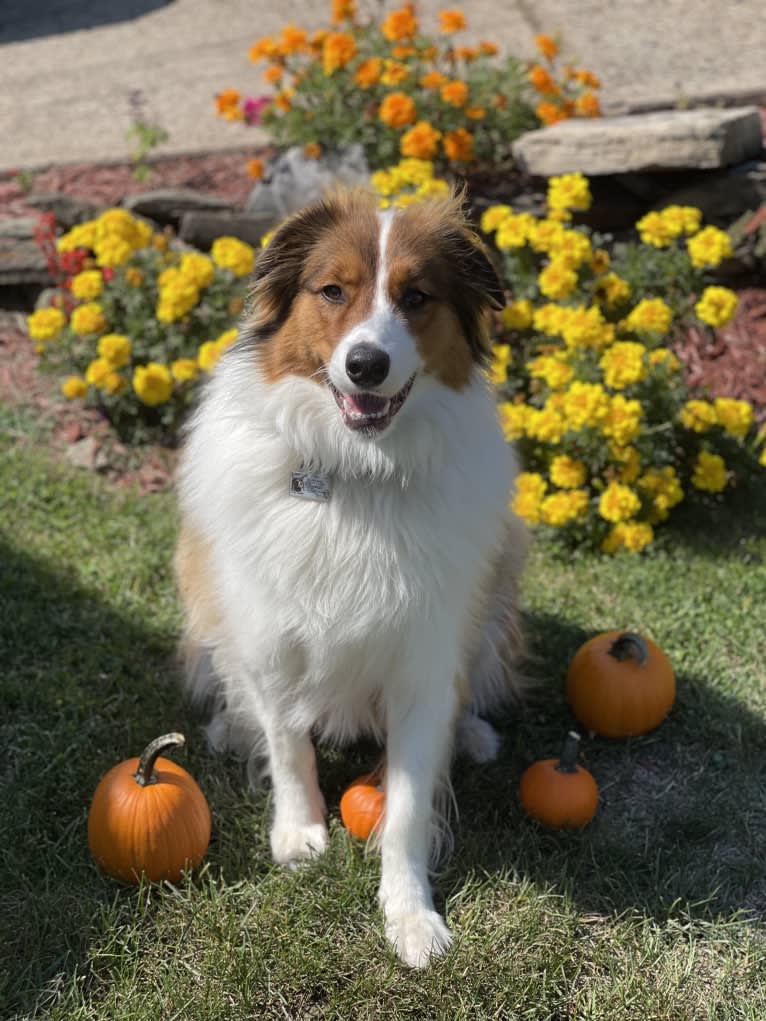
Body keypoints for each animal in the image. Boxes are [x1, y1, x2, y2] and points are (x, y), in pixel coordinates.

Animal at [173, 189, 527, 963]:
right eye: (333, 291)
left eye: (417, 296)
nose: (366, 364)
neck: (357, 473)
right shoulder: (271, 637)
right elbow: (287, 744)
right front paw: (299, 833)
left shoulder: (425, 662)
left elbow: (408, 804)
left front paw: (411, 914)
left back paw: (474, 734)